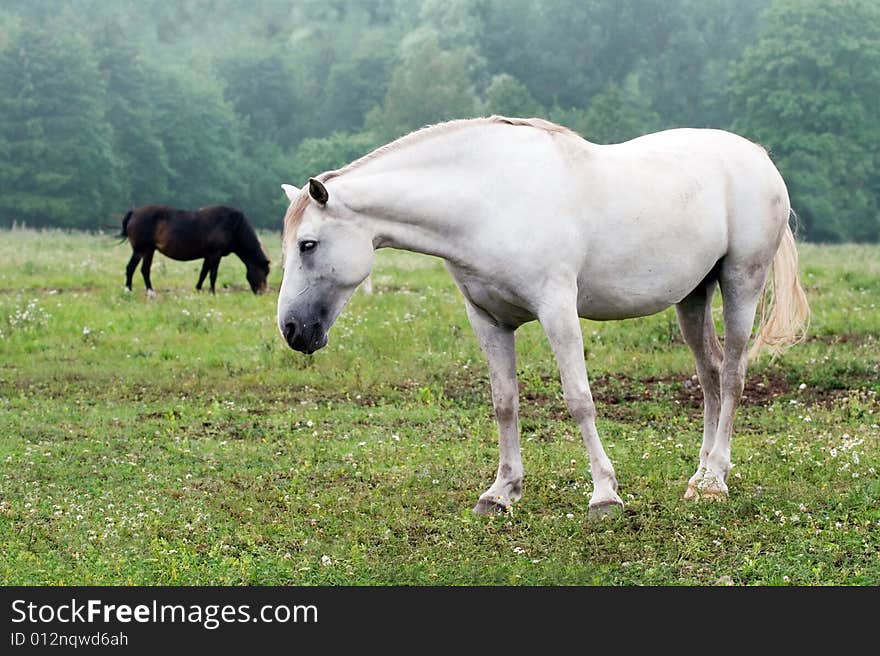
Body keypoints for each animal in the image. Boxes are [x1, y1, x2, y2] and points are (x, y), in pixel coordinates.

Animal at [120, 205, 270, 294]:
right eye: (264, 272)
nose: (262, 293)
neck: (233, 226)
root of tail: (134, 212)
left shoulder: (208, 255)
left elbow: (203, 273)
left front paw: (198, 289)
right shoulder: (216, 254)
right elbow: (213, 274)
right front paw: (212, 292)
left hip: (149, 250)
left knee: (144, 270)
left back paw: (149, 291)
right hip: (141, 250)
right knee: (131, 268)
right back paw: (129, 290)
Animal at [278, 118, 808, 516]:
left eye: (308, 245)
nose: (292, 330)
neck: (488, 200)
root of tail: (757, 157)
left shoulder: (557, 310)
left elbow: (579, 400)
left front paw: (605, 495)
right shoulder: (488, 319)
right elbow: (504, 403)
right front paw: (501, 492)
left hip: (741, 283)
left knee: (734, 374)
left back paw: (716, 480)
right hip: (694, 296)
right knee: (711, 374)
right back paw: (701, 476)